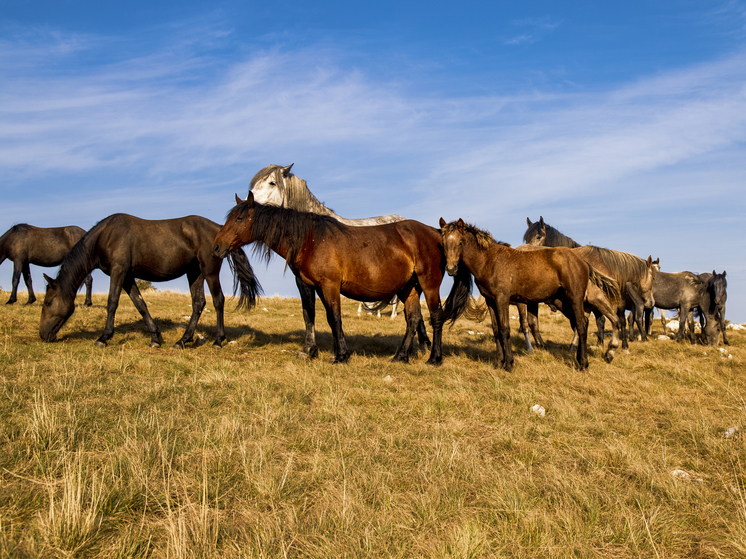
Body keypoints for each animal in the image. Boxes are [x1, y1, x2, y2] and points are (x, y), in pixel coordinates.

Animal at [41, 214, 262, 350]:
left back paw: (218, 341)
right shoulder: (127, 276)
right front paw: (155, 337)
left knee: (218, 301)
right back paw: (182, 341)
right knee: (198, 303)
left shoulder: (118, 272)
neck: (106, 236)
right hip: (195, 273)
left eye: (48, 302)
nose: (43, 335)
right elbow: (140, 304)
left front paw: (103, 338)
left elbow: (112, 303)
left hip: (209, 271)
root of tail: (219, 230)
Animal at [212, 195, 468, 366]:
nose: (216, 247)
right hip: (409, 288)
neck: (311, 240)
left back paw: (434, 358)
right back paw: (400, 356)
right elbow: (318, 316)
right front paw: (321, 351)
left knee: (435, 317)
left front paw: (341, 356)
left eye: (240, 218)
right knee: (413, 319)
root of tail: (436, 233)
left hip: (429, 285)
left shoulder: (330, 285)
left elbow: (334, 318)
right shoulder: (313, 286)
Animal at [438, 219, 596, 372]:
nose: (451, 269)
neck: (489, 261)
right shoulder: (490, 301)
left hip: (574, 298)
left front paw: (509, 364)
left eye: (460, 243)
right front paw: (498, 363)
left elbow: (504, 329)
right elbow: (496, 330)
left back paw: (583, 364)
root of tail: (582, 261)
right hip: (562, 301)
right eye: (443, 243)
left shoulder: (502, 300)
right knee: (582, 323)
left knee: (581, 325)